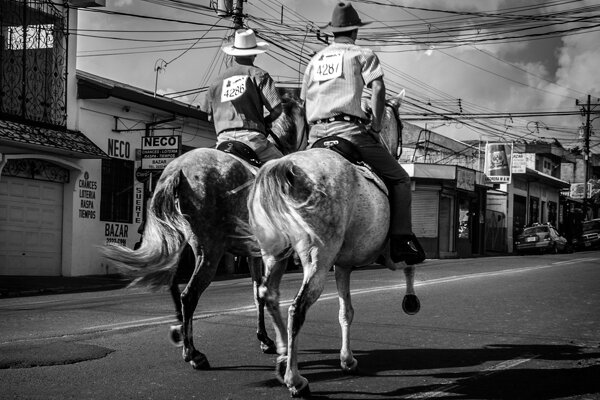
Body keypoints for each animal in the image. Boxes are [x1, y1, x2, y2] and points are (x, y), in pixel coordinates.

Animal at [101, 95, 308, 370]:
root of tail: (177, 169)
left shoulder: (253, 253)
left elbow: (257, 293)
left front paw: (264, 339)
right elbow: (263, 292)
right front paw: (270, 341)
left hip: (181, 243)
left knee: (175, 287)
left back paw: (181, 331)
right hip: (210, 250)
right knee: (189, 295)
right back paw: (193, 353)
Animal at [246, 94, 420, 396]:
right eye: (399, 125)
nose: (398, 151)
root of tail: (284, 167)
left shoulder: (343, 266)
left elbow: (345, 312)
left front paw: (347, 359)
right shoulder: (387, 254)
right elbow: (409, 262)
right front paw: (410, 300)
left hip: (274, 255)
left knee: (268, 295)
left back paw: (281, 355)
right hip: (318, 259)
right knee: (297, 309)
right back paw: (295, 379)